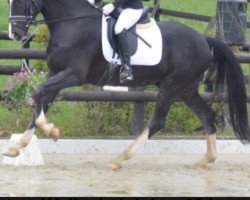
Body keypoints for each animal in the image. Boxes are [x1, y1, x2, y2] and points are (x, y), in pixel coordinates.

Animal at [4, 0, 250, 170]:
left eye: (22, 0)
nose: (15, 33)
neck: (72, 22)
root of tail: (204, 40)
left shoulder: (73, 75)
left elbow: (38, 92)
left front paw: (51, 131)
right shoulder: (56, 73)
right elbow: (41, 101)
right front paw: (17, 147)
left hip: (172, 86)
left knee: (157, 122)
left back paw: (119, 159)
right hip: (186, 88)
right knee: (207, 116)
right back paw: (206, 159)